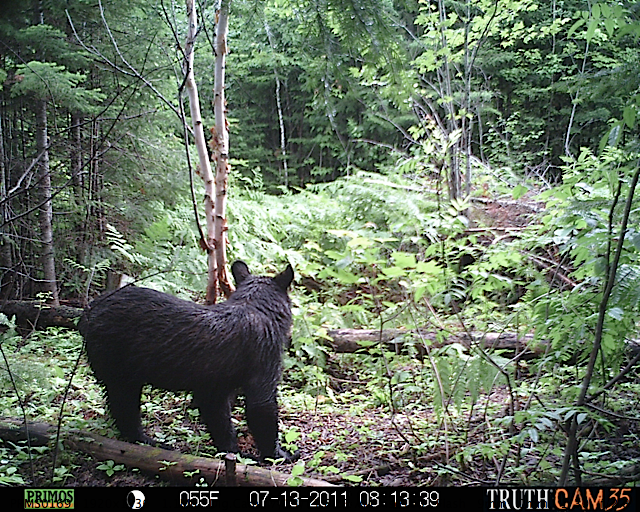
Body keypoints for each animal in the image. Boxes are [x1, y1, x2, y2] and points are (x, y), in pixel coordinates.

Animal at [80, 260, 298, 460]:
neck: (257, 308)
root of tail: (87, 313)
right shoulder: (263, 376)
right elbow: (263, 420)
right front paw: (279, 455)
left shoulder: (214, 390)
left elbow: (221, 426)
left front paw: (230, 453)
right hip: (121, 377)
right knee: (126, 415)